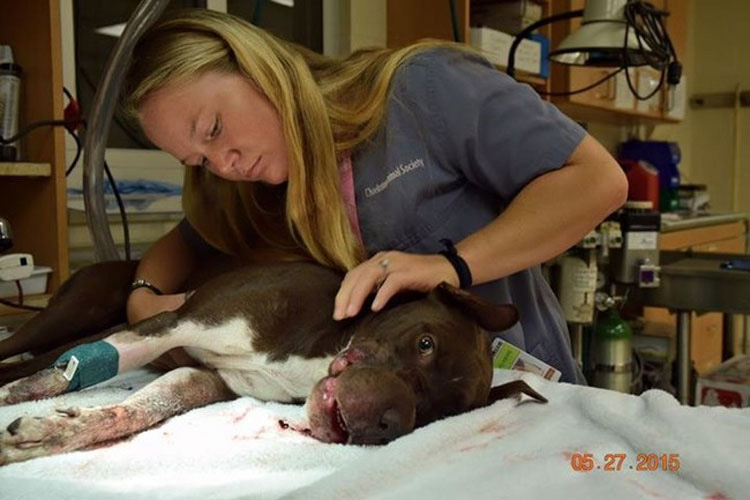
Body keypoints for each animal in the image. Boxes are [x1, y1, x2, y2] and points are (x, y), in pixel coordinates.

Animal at [0, 260, 548, 466]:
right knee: (27, 351)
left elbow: (141, 407)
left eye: (442, 414)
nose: (384, 424)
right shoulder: (176, 322)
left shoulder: (206, 379)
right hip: (71, 315)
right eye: (426, 343)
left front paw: (54, 432)